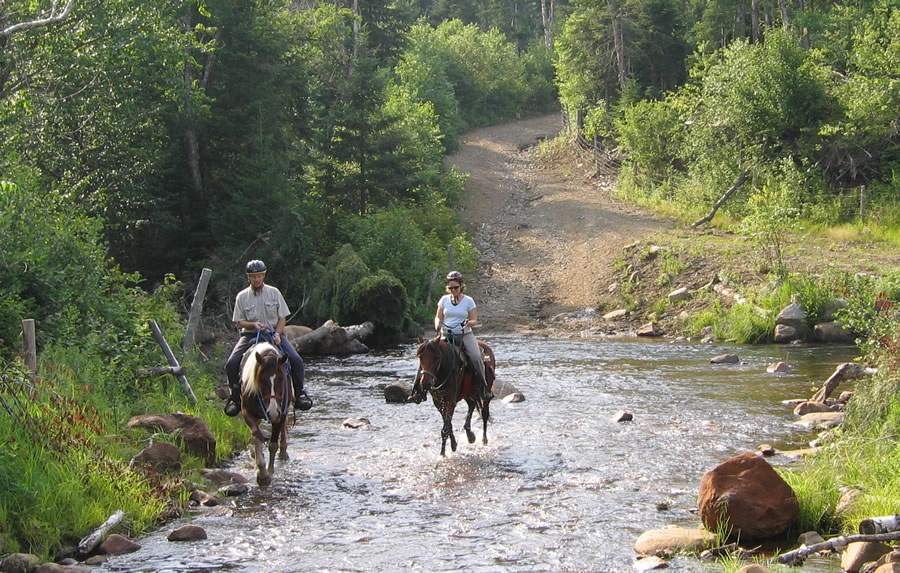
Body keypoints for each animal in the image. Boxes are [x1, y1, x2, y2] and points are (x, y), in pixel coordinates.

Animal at [239, 342, 292, 484]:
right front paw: (262, 472)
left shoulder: (280, 414)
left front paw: (269, 472)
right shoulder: (248, 413)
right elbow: (257, 436)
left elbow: (273, 445)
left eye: (281, 379)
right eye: (262, 380)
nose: (272, 412)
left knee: (283, 427)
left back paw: (283, 452)